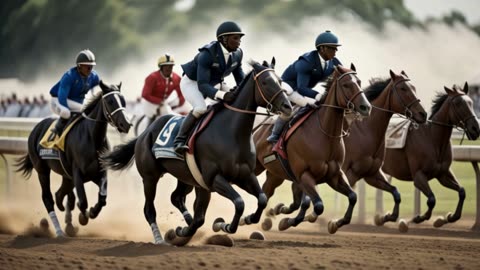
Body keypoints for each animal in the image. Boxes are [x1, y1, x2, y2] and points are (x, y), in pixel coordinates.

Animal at [15, 81, 131, 237]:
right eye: (110, 101)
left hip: (66, 176)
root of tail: (36, 128)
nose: (126, 124)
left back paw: (65, 218)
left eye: (123, 100)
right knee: (48, 198)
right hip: (42, 170)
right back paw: (59, 231)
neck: (92, 138)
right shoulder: (78, 174)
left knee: (60, 194)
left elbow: (102, 198)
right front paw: (83, 217)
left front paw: (92, 212)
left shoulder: (99, 172)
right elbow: (82, 201)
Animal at [101, 60, 292, 246]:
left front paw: (248, 218)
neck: (232, 133)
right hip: (150, 177)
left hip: (186, 177)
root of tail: (145, 133)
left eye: (280, 81)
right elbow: (239, 202)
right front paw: (226, 226)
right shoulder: (213, 178)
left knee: (177, 198)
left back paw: (186, 225)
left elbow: (262, 199)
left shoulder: (244, 175)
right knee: (149, 209)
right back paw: (159, 238)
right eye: (265, 82)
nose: (287, 106)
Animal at [253, 64, 370, 233]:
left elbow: (353, 196)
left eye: (359, 82)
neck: (325, 135)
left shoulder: (334, 175)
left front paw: (335, 223)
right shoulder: (305, 175)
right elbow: (317, 205)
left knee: (268, 191)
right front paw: (287, 221)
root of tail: (257, 128)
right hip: (256, 166)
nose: (366, 107)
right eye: (346, 85)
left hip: (276, 174)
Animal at [382, 83, 480, 232]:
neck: (432, 138)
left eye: (471, 102)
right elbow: (432, 199)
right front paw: (417, 218)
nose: (476, 129)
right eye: (458, 103)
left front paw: (449, 217)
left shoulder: (442, 174)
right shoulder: (418, 176)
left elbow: (462, 192)